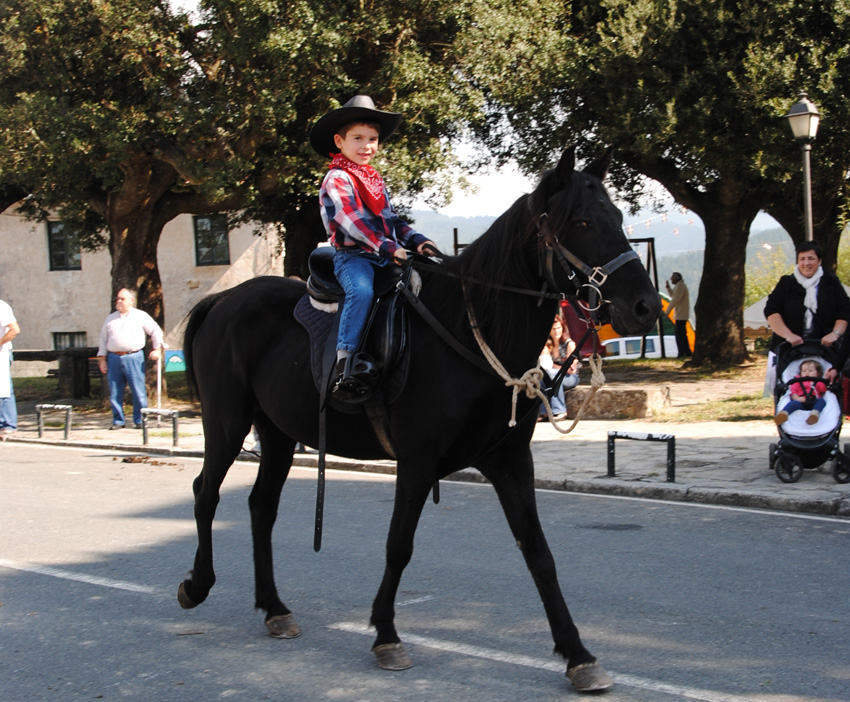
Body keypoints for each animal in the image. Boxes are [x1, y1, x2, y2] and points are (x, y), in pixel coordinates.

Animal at [176, 147, 660, 692]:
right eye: (581, 222)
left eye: (617, 217)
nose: (644, 306)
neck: (469, 332)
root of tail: (223, 300)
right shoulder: (416, 462)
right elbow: (399, 545)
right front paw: (386, 635)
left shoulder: (510, 462)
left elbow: (538, 552)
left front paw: (578, 654)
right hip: (226, 422)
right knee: (206, 492)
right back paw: (197, 584)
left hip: (277, 433)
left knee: (261, 506)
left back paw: (274, 608)